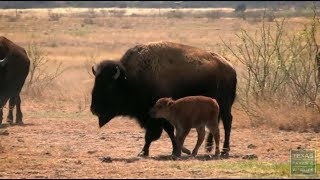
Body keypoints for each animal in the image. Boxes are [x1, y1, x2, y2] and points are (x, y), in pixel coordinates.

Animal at [91, 41, 236, 158]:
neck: (130, 80)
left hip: (224, 104)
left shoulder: (158, 115)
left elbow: (157, 133)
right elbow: (167, 132)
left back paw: (225, 151)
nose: (94, 109)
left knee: (227, 122)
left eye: (109, 87)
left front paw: (146, 152)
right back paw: (209, 148)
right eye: (96, 83)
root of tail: (230, 67)